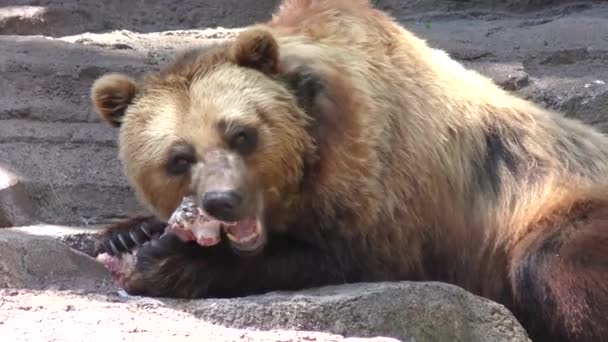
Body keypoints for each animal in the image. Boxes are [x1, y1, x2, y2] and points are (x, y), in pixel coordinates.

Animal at [90, 0, 608, 342]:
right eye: (179, 157)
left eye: (241, 133)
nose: (223, 200)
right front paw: (126, 235)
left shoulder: (391, 186)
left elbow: (344, 255)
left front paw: (165, 260)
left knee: (550, 263)